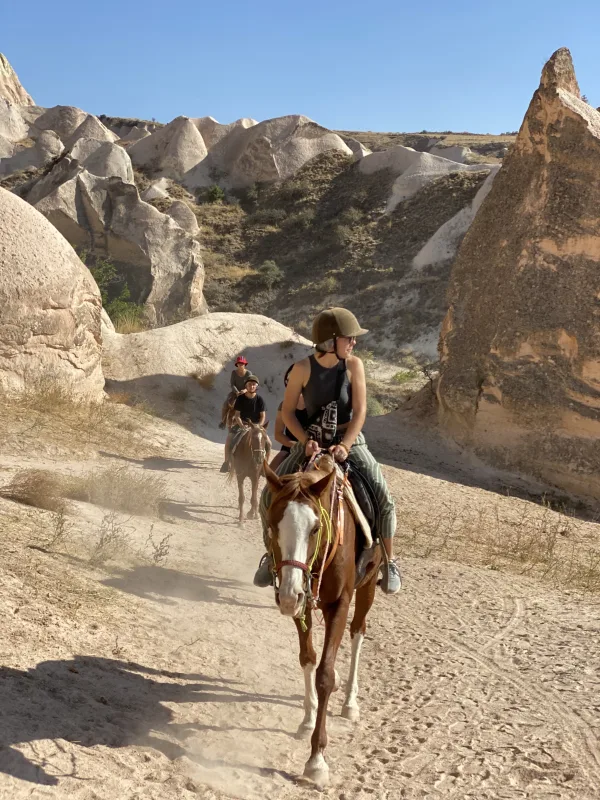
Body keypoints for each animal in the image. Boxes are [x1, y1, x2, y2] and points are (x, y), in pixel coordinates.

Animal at [262, 456, 380, 788]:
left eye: (315, 527)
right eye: (272, 524)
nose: (288, 594)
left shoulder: (339, 605)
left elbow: (324, 674)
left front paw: (316, 761)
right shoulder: (302, 603)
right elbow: (308, 658)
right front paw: (307, 718)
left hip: (368, 585)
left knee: (358, 632)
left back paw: (350, 701)